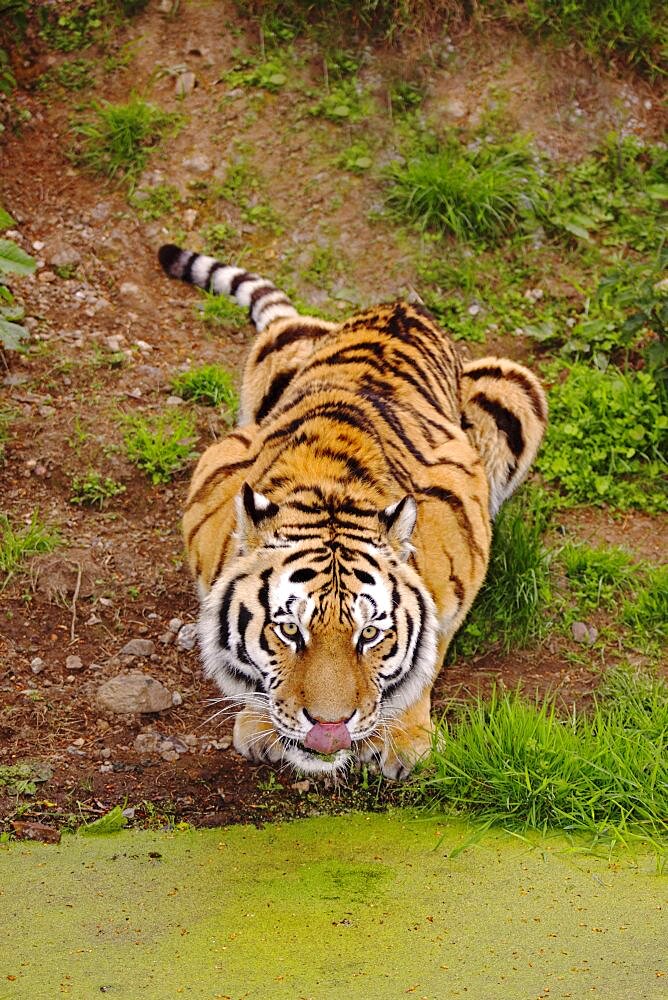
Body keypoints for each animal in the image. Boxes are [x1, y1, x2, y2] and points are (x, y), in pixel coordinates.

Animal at [159, 242, 544, 780]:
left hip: (513, 386)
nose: (330, 726)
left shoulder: (464, 532)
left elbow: (428, 653)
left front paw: (403, 740)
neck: (328, 488)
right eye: (289, 630)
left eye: (370, 634)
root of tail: (402, 305)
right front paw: (259, 726)